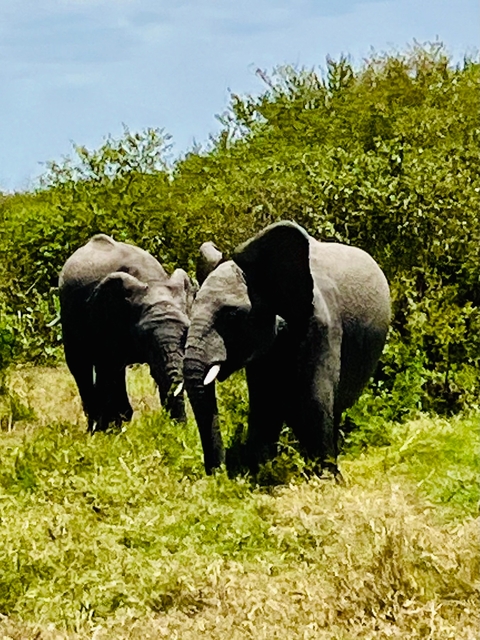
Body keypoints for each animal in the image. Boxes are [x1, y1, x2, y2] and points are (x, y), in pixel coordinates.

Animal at [59, 234, 194, 431]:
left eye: (186, 333)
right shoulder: (107, 320)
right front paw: (108, 430)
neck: (151, 280)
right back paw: (97, 427)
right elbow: (108, 367)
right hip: (69, 319)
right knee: (82, 365)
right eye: (145, 338)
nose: (182, 427)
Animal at [183, 221, 391, 476]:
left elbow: (315, 401)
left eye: (231, 315)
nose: (217, 473)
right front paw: (262, 470)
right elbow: (264, 402)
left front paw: (328, 478)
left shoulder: (320, 326)